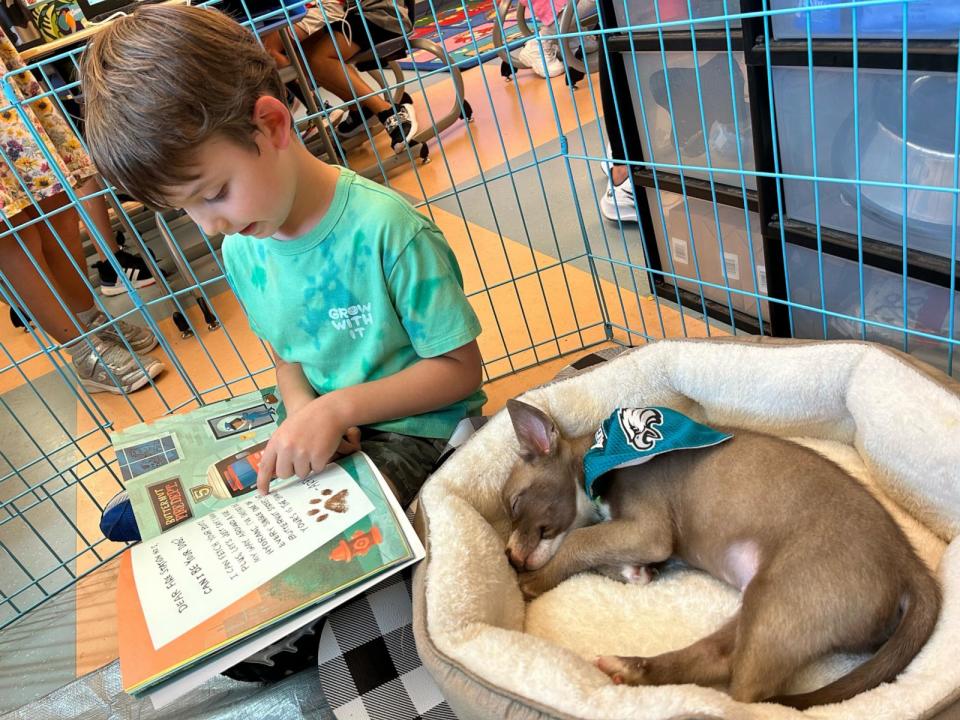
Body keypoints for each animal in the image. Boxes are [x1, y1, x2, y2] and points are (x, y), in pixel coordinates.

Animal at [506, 400, 940, 708]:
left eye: (513, 503)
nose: (508, 557)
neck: (600, 457)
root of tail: (911, 565)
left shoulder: (649, 531)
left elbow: (578, 542)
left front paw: (535, 581)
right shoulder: (644, 541)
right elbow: (600, 551)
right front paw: (631, 572)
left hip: (779, 598)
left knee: (745, 691)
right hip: (768, 609)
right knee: (717, 656)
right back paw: (634, 668)